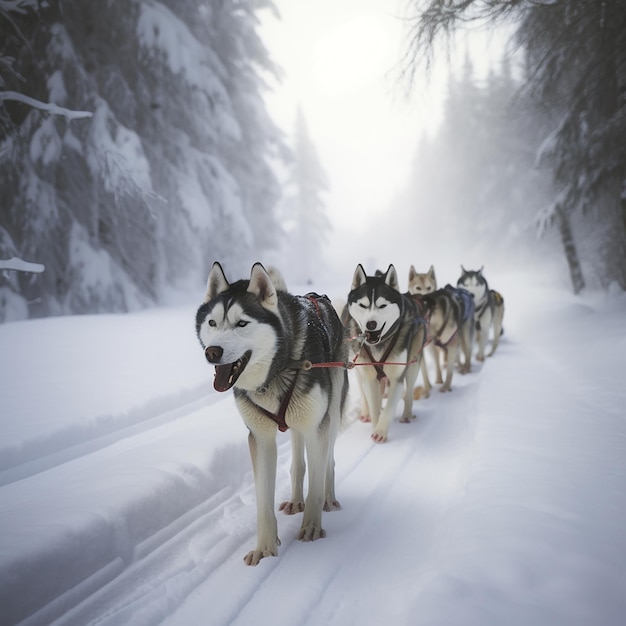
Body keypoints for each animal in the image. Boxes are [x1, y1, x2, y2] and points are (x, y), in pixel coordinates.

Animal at [196, 260, 346, 564]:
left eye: (242, 323)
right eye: (212, 323)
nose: (212, 352)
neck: (276, 370)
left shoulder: (317, 427)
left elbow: (316, 479)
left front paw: (312, 527)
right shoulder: (260, 438)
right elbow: (263, 500)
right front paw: (264, 548)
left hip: (330, 415)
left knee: (327, 461)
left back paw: (327, 498)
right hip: (299, 420)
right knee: (298, 461)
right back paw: (297, 499)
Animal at [344, 264, 426, 444]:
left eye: (382, 306)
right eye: (363, 305)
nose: (371, 324)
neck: (378, 344)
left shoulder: (397, 377)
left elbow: (389, 408)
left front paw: (380, 431)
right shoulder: (369, 377)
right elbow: (375, 406)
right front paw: (375, 424)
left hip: (412, 365)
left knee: (409, 392)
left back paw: (407, 415)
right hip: (360, 370)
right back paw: (366, 414)